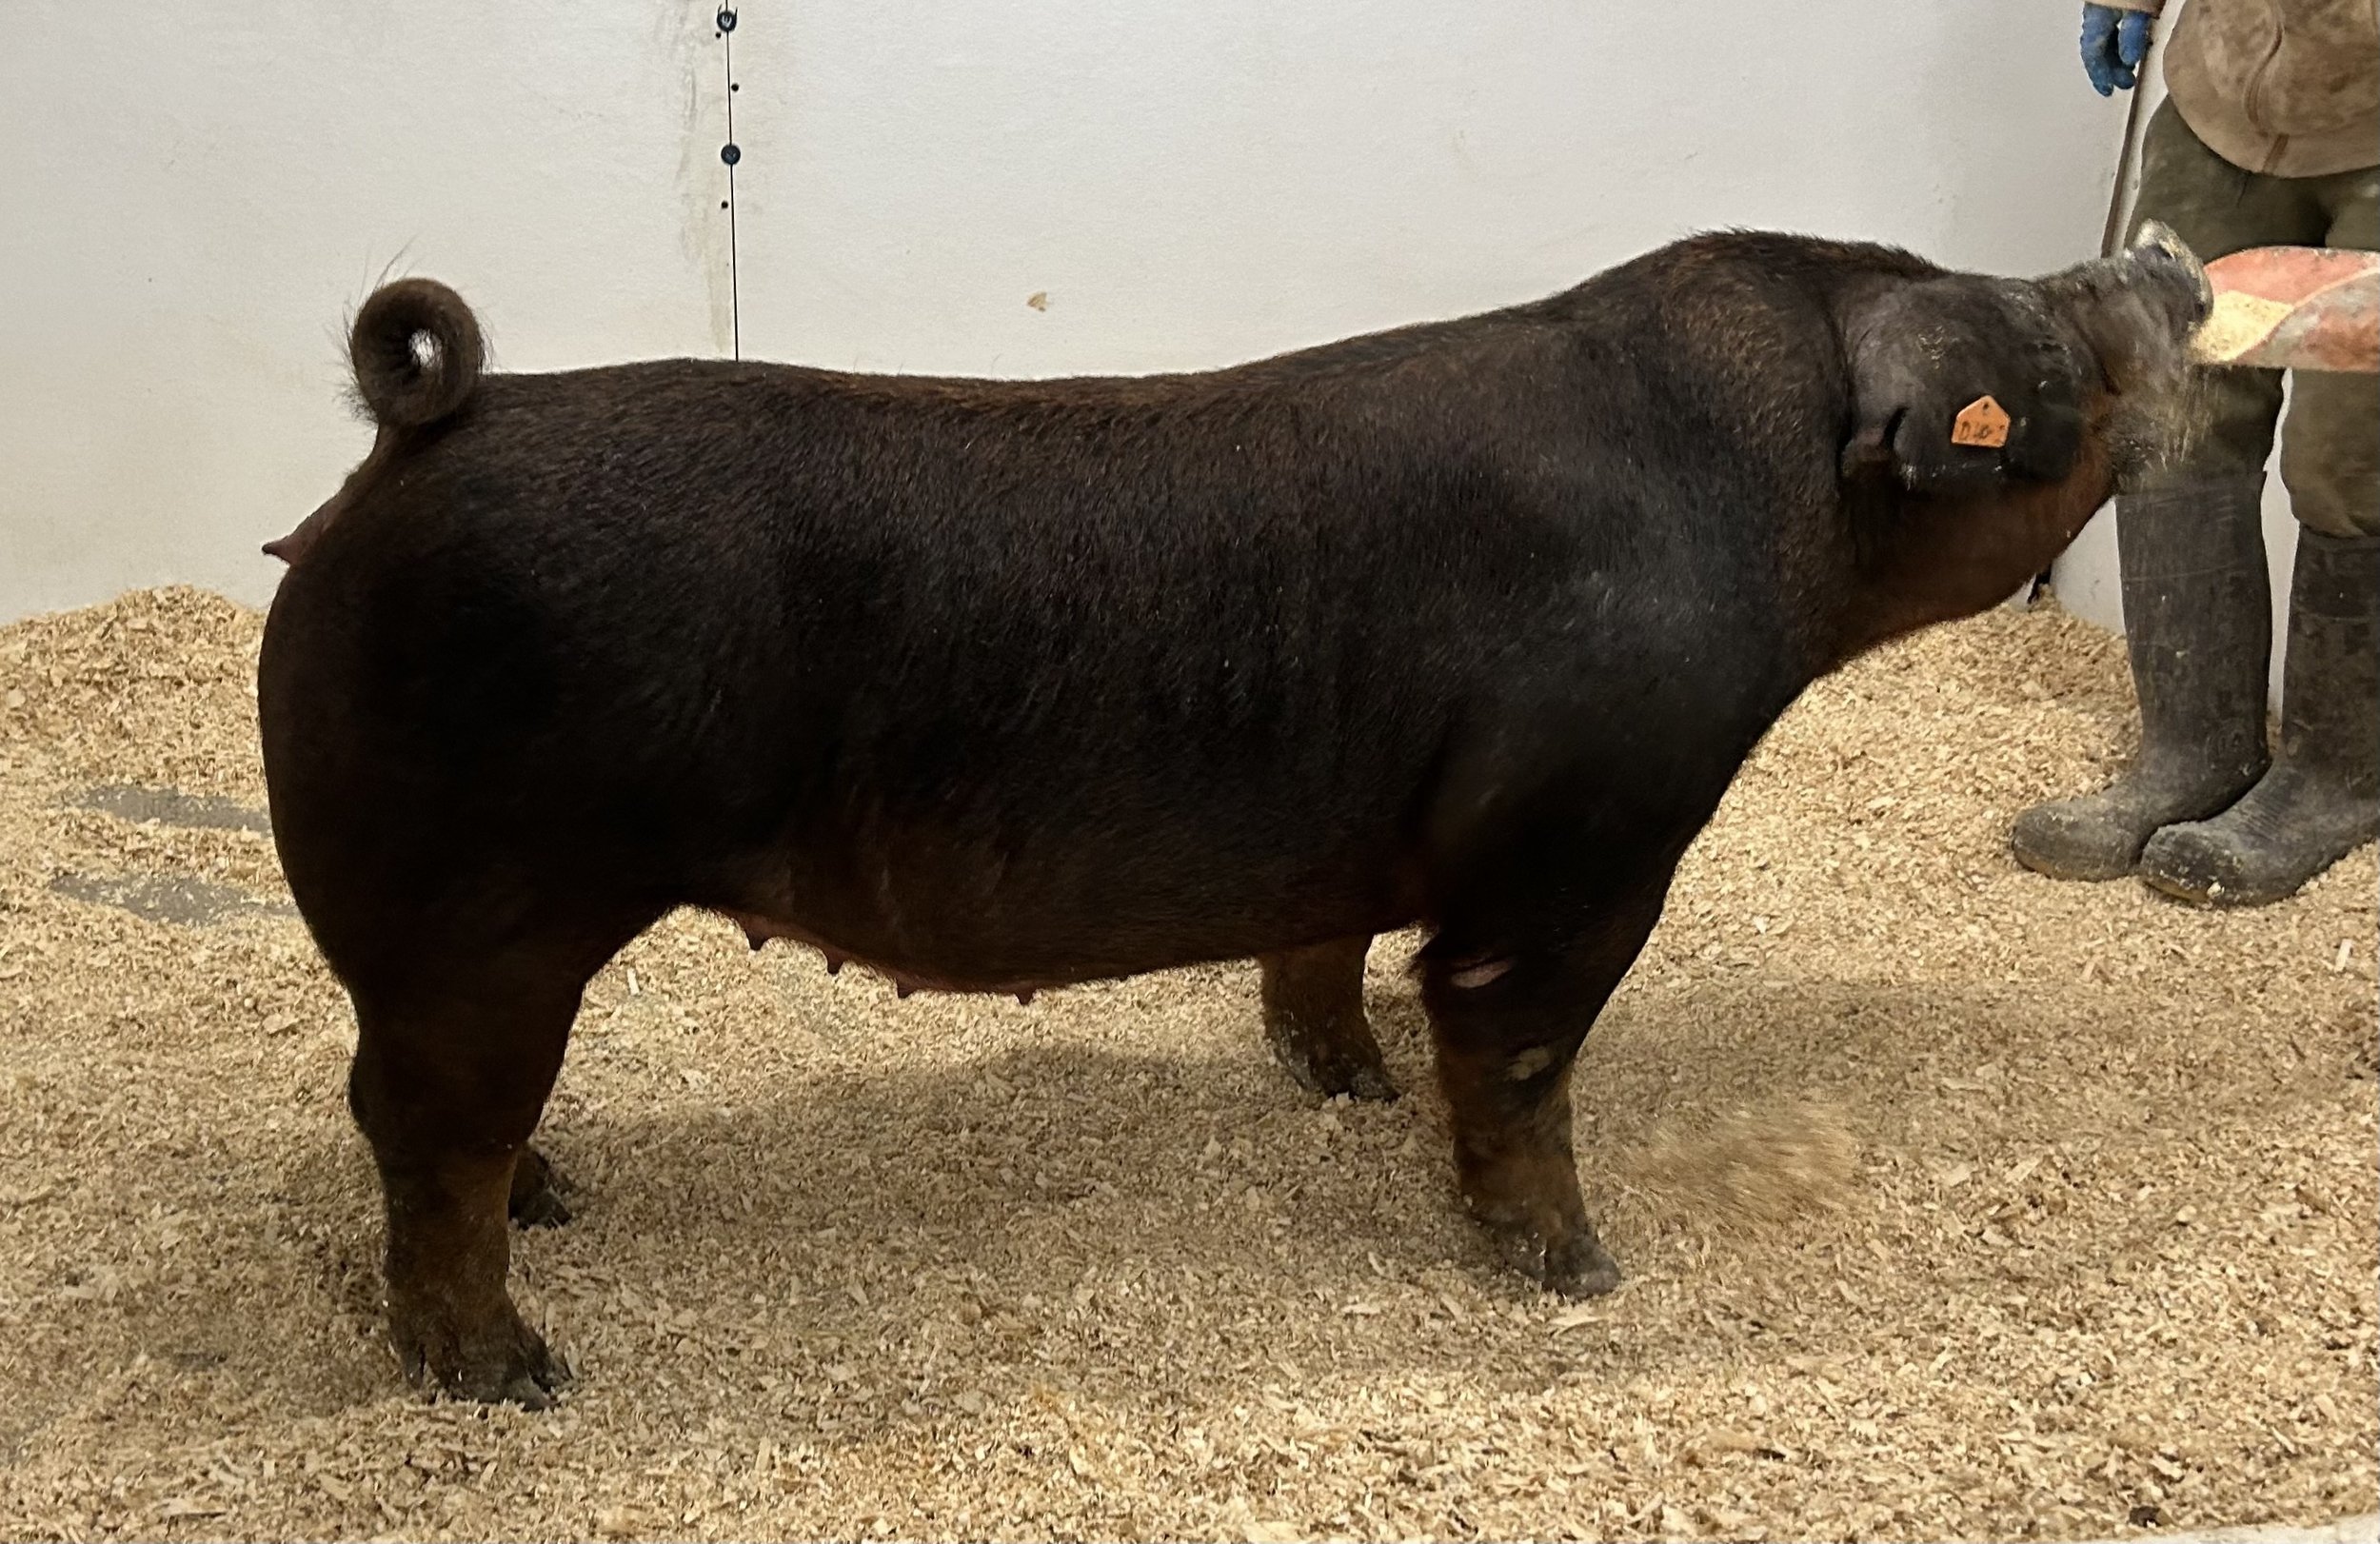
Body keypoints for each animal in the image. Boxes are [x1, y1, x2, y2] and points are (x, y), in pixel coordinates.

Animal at [257, 226, 2208, 1405]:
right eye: (2050, 342)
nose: (2163, 257)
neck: (1760, 510)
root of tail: (424, 429)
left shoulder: (1354, 829)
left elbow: (1324, 948)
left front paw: (1340, 1084)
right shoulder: (1589, 844)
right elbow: (1517, 1051)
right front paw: (1582, 1273)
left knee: (425, 1112)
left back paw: (565, 1201)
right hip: (480, 916)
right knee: (427, 1136)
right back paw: (520, 1369)